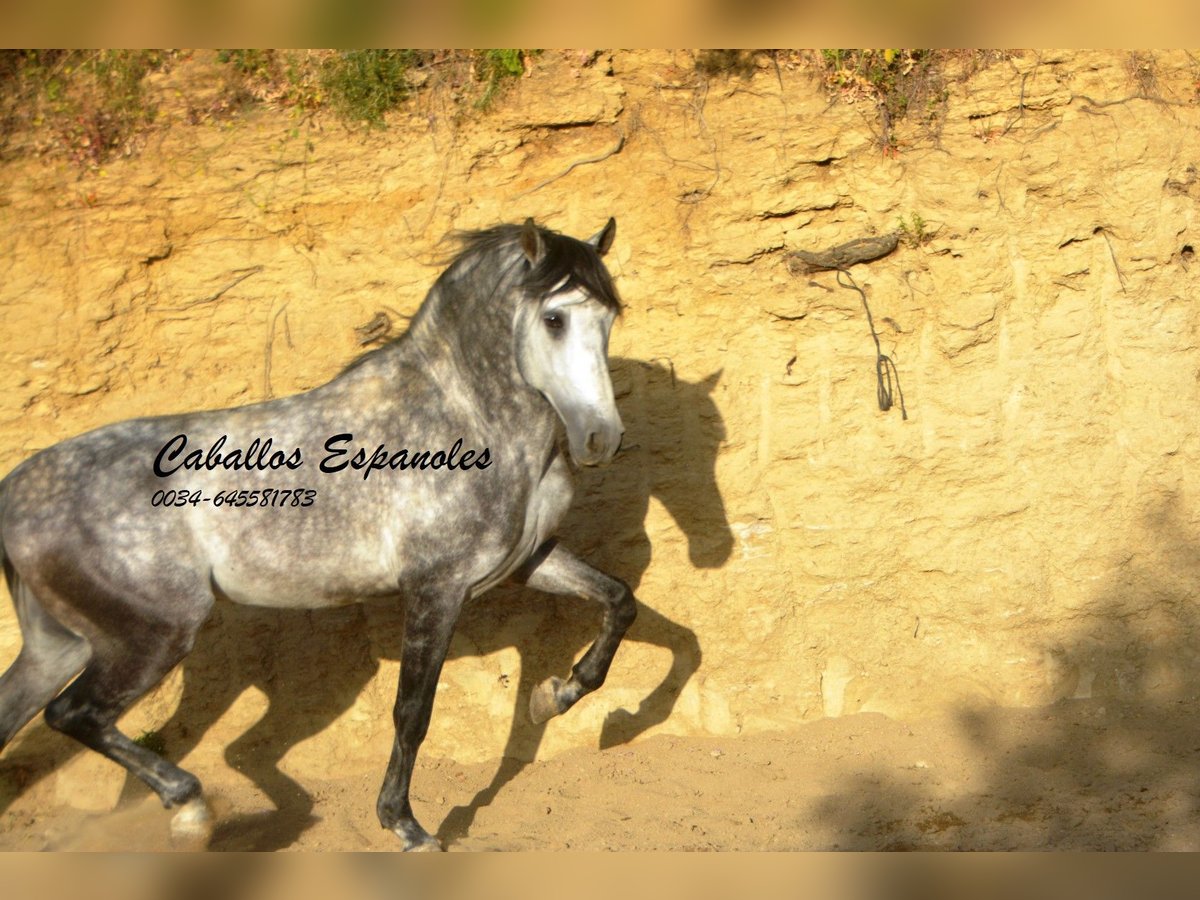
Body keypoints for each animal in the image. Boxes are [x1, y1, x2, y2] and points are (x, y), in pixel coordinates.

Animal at [0, 220, 638, 854]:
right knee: (74, 715)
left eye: (610, 315)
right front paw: (408, 828)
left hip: (61, 645)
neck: (467, 421)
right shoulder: (437, 588)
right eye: (554, 319)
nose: (600, 438)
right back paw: (191, 809)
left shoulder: (528, 562)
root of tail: (17, 495)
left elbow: (620, 602)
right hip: (153, 635)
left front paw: (553, 696)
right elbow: (413, 712)